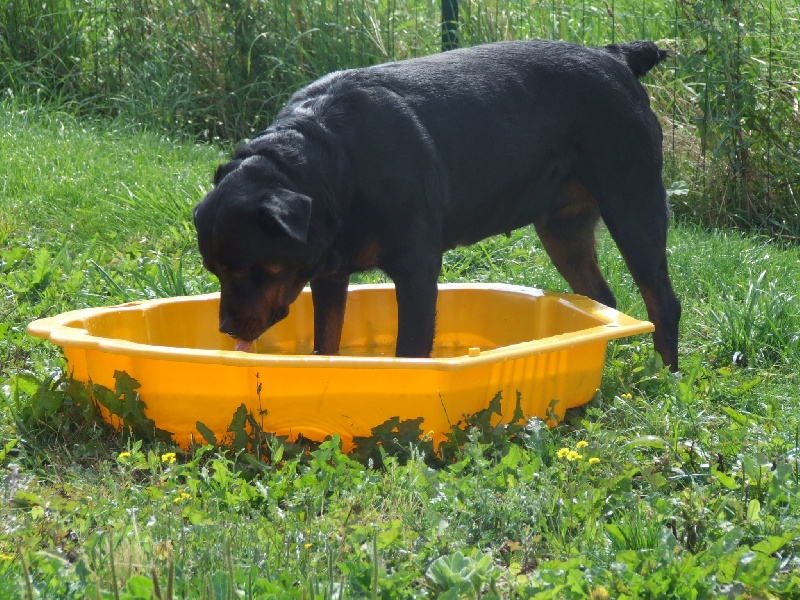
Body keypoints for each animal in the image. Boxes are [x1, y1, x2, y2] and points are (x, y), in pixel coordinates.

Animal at [194, 38, 680, 370]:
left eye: (246, 270)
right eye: (215, 272)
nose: (225, 327)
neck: (336, 162)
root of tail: (615, 57)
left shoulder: (415, 269)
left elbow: (410, 350)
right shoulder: (329, 273)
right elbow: (324, 341)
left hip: (633, 202)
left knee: (662, 300)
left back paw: (666, 376)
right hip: (564, 228)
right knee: (600, 297)